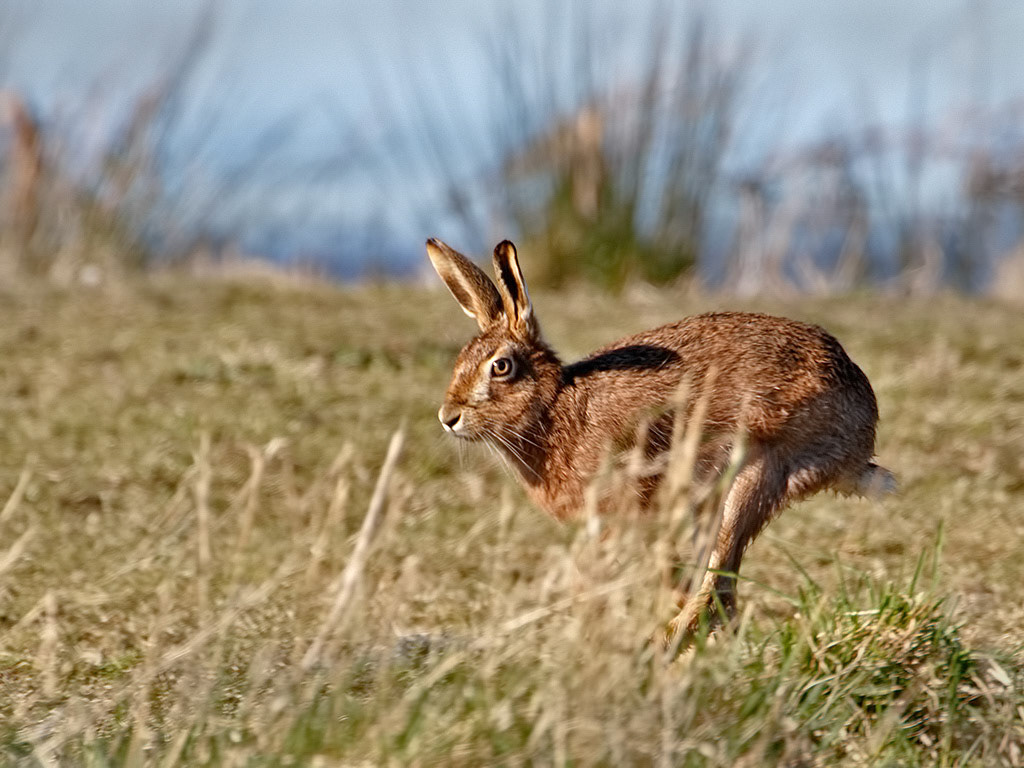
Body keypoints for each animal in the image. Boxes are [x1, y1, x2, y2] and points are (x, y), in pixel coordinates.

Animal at [426, 237, 895, 641]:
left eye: (501, 366)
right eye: (461, 359)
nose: (448, 418)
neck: (555, 407)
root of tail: (860, 433)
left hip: (758, 472)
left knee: (718, 587)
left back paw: (662, 647)